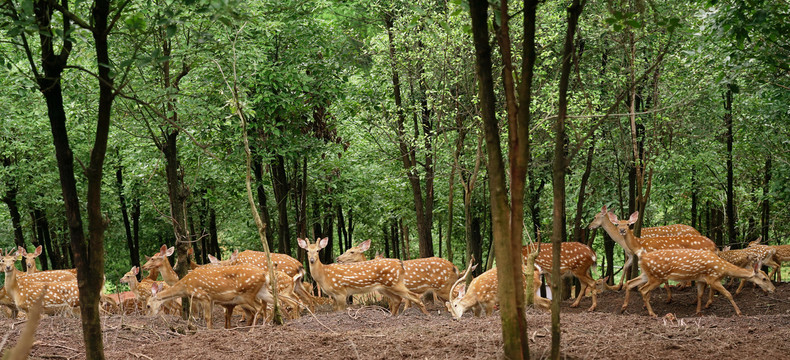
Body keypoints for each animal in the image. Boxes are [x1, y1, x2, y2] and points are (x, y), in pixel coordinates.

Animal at [298, 238, 434, 314]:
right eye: (307, 251)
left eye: (317, 250)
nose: (311, 260)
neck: (324, 275)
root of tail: (399, 263)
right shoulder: (334, 295)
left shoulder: (341, 291)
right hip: (385, 287)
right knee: (398, 299)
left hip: (395, 284)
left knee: (414, 296)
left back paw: (427, 316)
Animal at [620, 249, 776, 316]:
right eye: (764, 279)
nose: (773, 289)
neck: (723, 268)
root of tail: (642, 257)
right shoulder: (713, 278)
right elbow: (728, 294)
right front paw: (739, 312)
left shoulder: (701, 280)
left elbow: (700, 295)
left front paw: (698, 311)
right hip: (658, 277)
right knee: (643, 290)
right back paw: (652, 313)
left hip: (647, 274)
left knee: (631, 282)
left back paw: (623, 308)